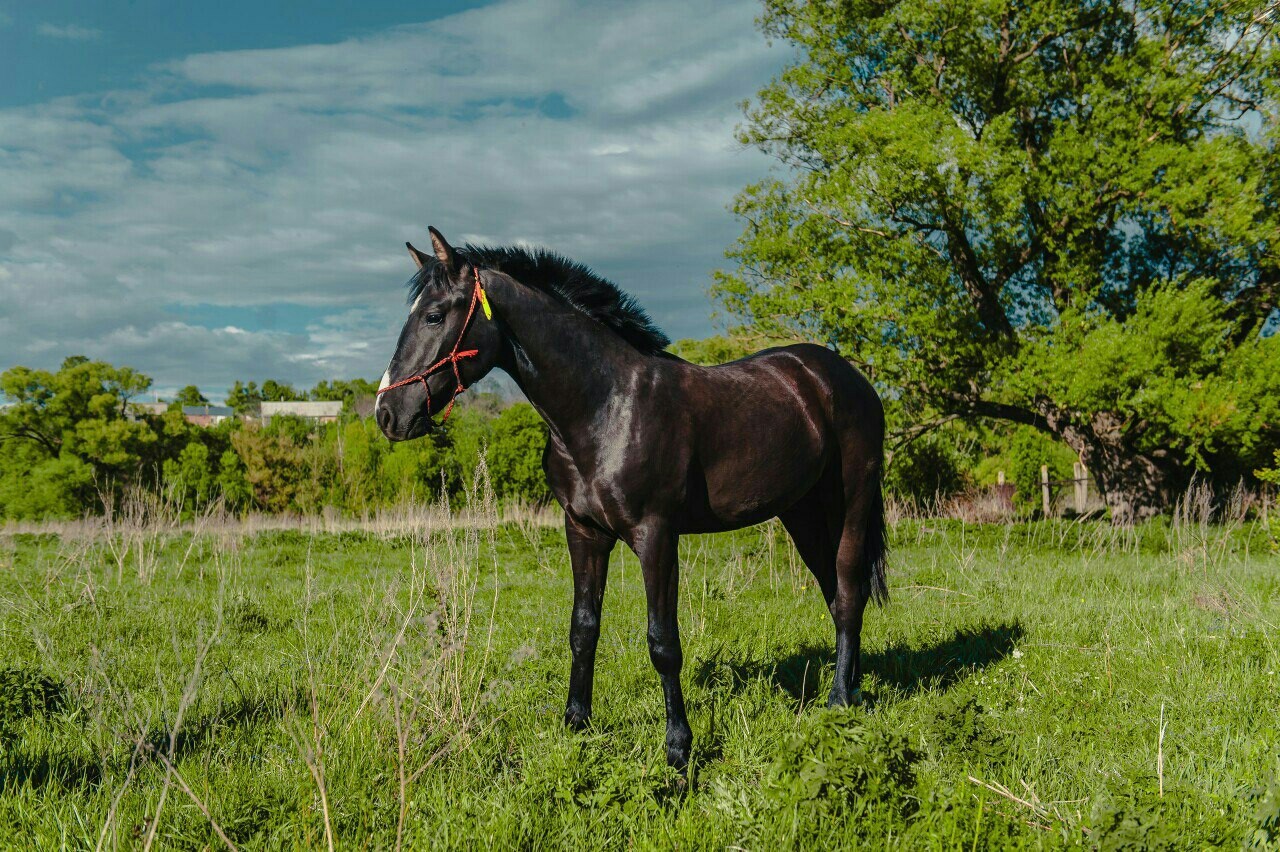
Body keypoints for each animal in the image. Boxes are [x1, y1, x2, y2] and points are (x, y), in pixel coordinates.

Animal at [373, 227, 885, 767]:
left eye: (434, 315)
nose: (387, 413)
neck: (607, 405)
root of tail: (843, 377)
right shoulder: (583, 531)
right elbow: (583, 629)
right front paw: (576, 724)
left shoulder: (655, 536)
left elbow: (663, 642)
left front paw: (679, 749)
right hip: (802, 514)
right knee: (835, 594)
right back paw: (852, 687)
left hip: (851, 504)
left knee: (848, 592)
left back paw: (838, 701)